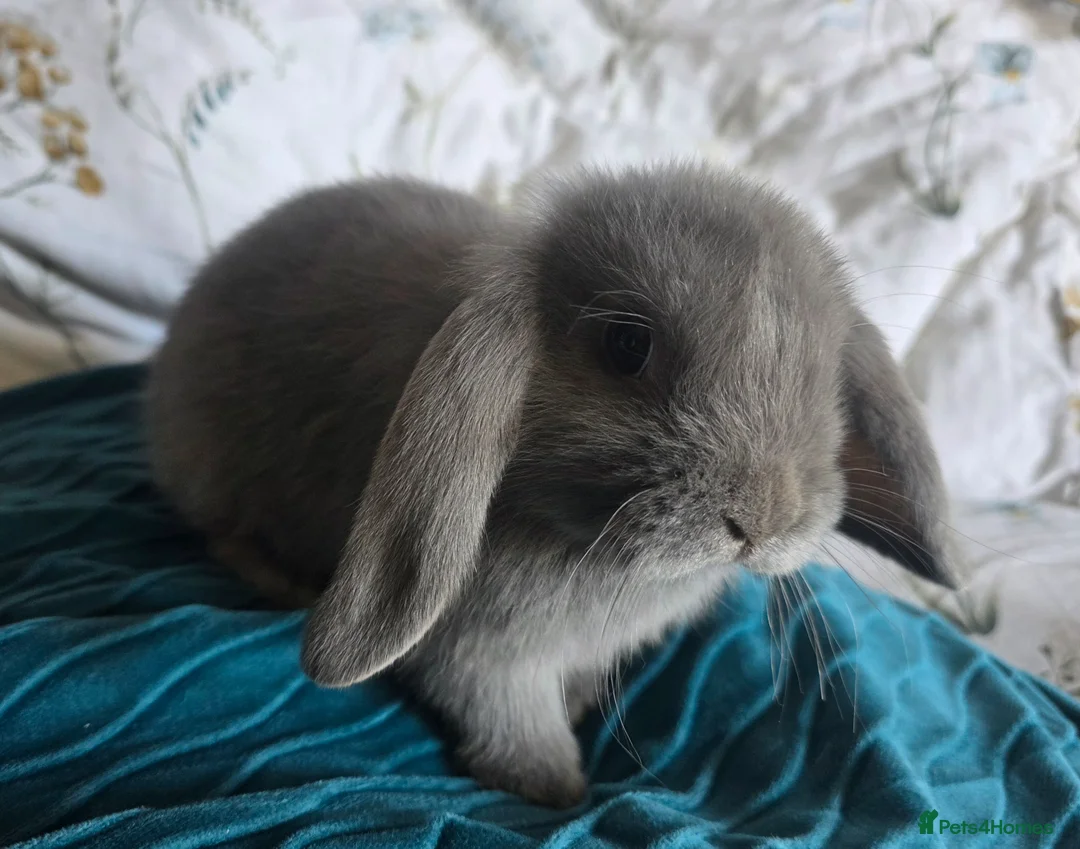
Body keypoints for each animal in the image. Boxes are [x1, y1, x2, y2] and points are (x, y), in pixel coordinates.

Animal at [145, 162, 955, 809]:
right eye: (626, 345)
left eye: (830, 388)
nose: (764, 519)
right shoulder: (480, 656)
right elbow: (512, 717)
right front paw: (553, 786)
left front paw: (579, 707)